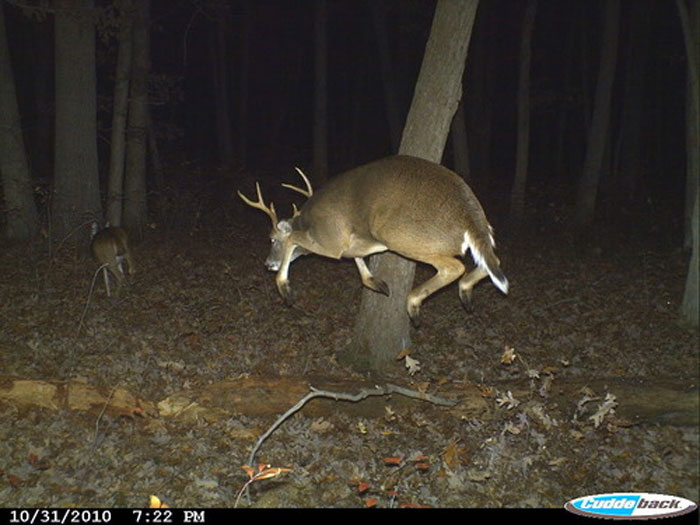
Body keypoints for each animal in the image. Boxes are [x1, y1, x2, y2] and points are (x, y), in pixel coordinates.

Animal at [238, 155, 508, 326]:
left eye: (272, 239)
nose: (267, 264)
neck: (309, 221)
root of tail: (470, 212)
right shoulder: (357, 241)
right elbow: (359, 261)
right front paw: (377, 283)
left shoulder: (332, 241)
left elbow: (294, 238)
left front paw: (285, 289)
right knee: (492, 261)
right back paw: (466, 293)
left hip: (399, 234)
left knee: (455, 266)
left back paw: (415, 304)